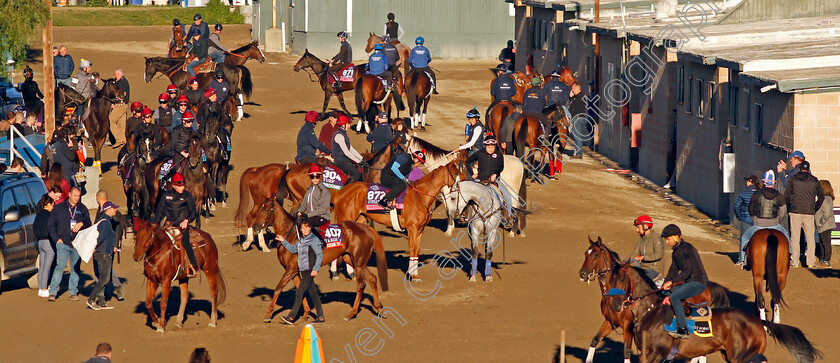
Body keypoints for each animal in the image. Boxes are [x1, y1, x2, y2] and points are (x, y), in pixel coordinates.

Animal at [260, 189, 390, 322]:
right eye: (259, 207)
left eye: (267, 209)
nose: (256, 226)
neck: (290, 235)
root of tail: (367, 228)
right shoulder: (293, 269)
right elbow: (300, 289)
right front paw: (305, 313)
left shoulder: (292, 268)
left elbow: (279, 288)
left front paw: (268, 315)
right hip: (353, 260)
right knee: (372, 279)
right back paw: (379, 309)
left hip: (358, 262)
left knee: (361, 285)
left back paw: (351, 314)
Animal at [332, 154, 470, 282]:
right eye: (456, 172)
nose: (467, 182)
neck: (420, 196)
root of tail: (341, 192)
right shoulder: (412, 228)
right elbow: (412, 249)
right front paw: (412, 275)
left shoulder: (420, 229)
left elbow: (416, 251)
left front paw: (415, 274)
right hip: (346, 218)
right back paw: (335, 273)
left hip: (359, 219)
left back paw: (352, 273)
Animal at [576, 237, 728, 363]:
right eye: (585, 253)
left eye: (595, 254)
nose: (582, 274)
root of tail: (707, 286)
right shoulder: (610, 321)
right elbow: (595, 340)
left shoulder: (628, 326)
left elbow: (626, 352)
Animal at [608, 264, 824, 362]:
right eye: (610, 279)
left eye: (622, 280)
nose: (616, 305)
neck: (651, 312)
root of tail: (758, 322)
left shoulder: (655, 354)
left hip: (741, 357)